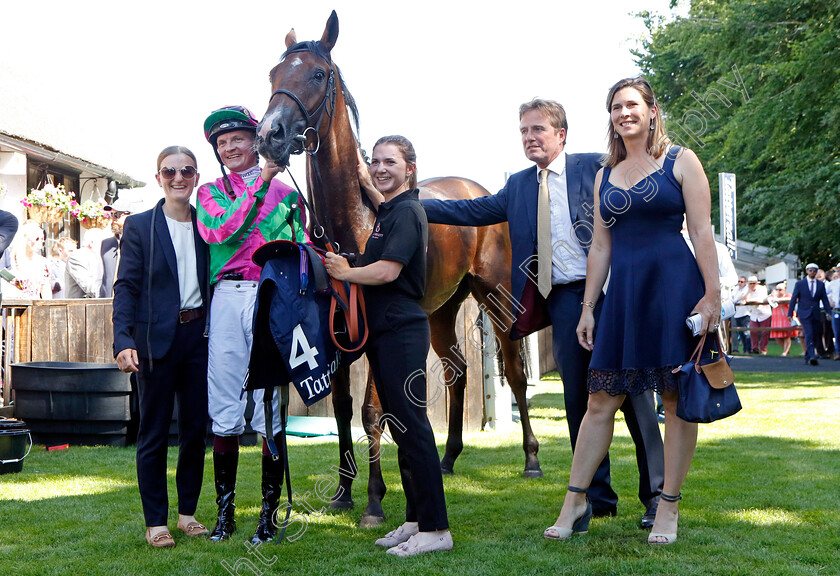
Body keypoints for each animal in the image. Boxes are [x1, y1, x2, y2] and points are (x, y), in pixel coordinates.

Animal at [256, 10, 540, 532]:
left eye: (318, 74)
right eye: (273, 74)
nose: (270, 134)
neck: (355, 219)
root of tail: (480, 191)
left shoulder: (373, 332)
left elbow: (372, 411)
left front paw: (372, 501)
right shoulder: (339, 330)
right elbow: (343, 410)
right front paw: (343, 493)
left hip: (493, 297)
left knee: (512, 373)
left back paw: (531, 459)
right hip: (441, 311)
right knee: (457, 372)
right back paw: (447, 459)